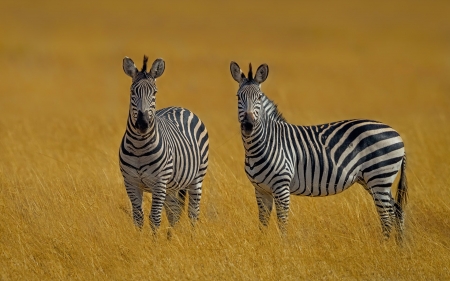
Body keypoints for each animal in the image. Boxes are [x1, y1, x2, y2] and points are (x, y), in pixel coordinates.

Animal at [120, 54, 210, 234]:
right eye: (132, 91)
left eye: (154, 92)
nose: (142, 124)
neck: (139, 147)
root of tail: (180, 107)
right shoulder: (131, 182)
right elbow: (138, 218)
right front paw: (139, 240)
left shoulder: (159, 183)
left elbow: (154, 218)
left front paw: (154, 242)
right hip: (172, 186)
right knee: (173, 213)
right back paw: (171, 237)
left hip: (197, 178)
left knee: (193, 213)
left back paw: (192, 237)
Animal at [229, 61, 408, 241]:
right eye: (238, 96)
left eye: (259, 97)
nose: (248, 126)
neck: (260, 146)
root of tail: (396, 133)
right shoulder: (260, 189)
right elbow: (262, 222)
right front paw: (262, 244)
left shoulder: (282, 186)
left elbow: (282, 221)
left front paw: (282, 245)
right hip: (372, 180)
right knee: (396, 209)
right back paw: (399, 245)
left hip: (379, 177)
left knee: (387, 216)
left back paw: (384, 244)